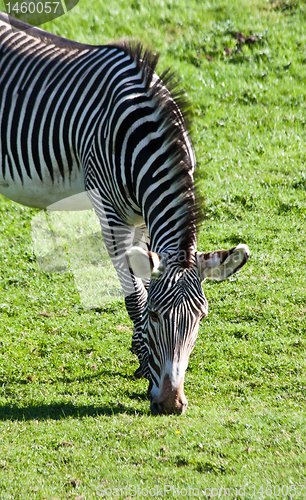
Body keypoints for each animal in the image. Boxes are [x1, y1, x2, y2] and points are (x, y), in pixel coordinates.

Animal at [0, 13, 249, 416]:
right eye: (156, 316)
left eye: (201, 319)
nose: (171, 405)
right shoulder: (110, 212)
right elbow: (135, 295)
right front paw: (145, 362)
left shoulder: (144, 219)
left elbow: (144, 281)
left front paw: (140, 357)